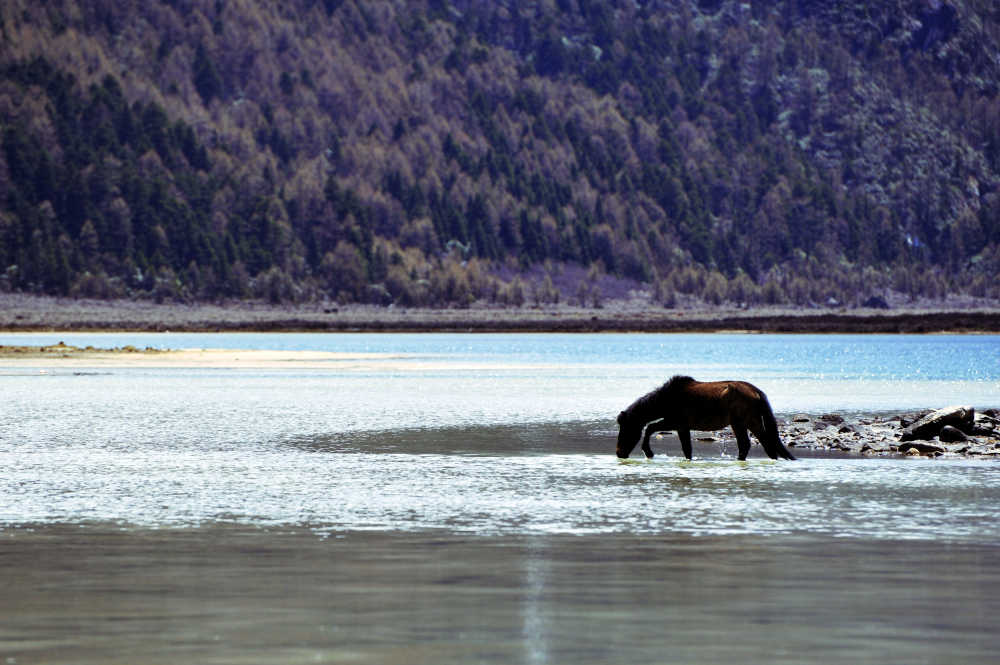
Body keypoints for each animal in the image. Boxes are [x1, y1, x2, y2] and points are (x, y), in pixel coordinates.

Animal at [612, 376, 792, 460]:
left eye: (626, 430)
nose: (619, 453)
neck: (667, 399)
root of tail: (756, 391)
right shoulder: (682, 427)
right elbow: (687, 449)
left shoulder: (675, 422)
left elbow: (650, 428)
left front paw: (648, 452)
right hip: (747, 422)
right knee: (762, 443)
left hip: (741, 422)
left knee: (750, 444)